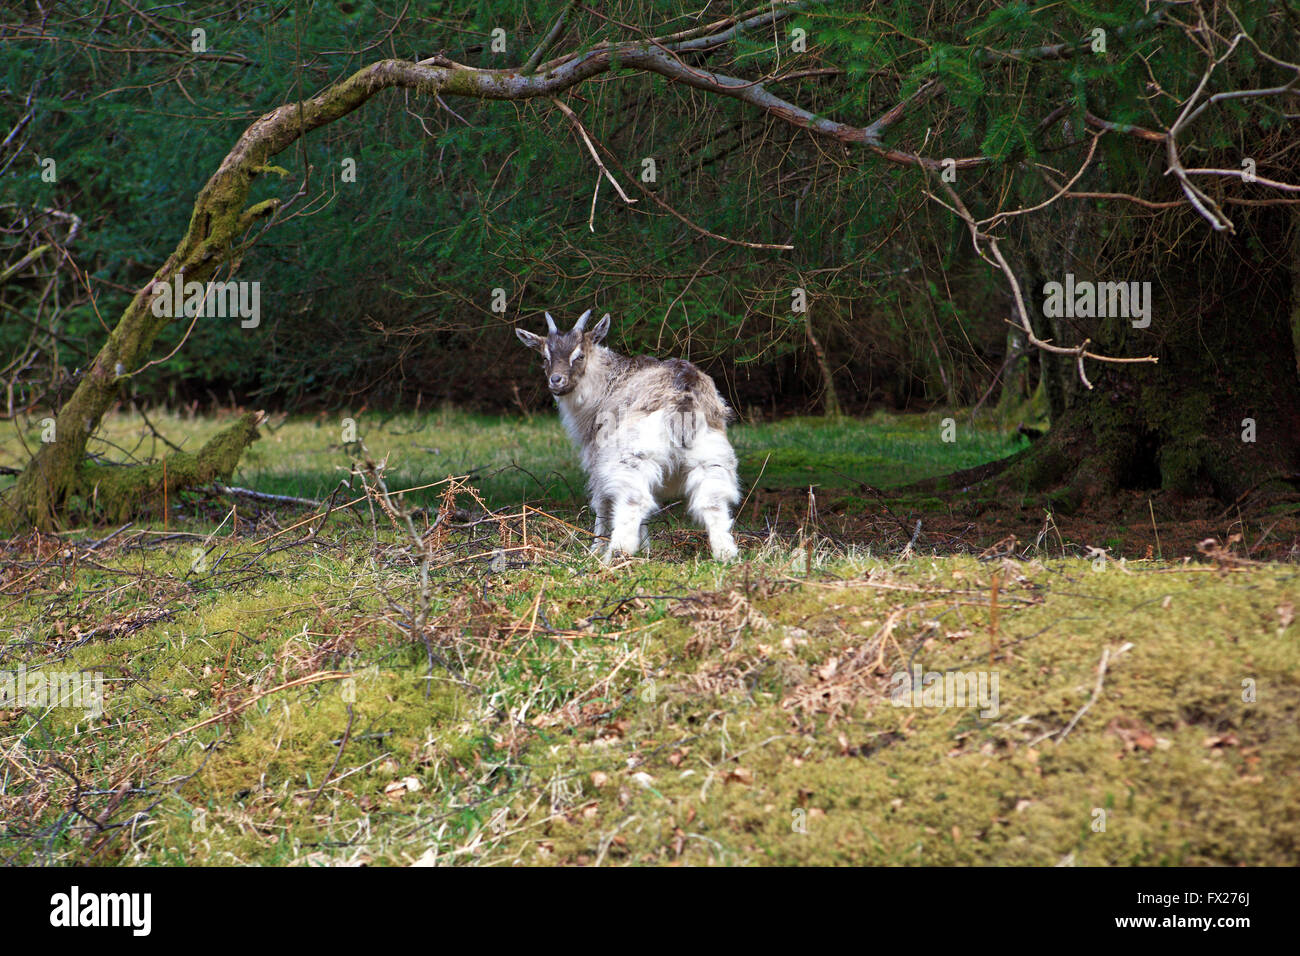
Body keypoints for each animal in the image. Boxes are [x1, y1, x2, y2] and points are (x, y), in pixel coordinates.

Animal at [516, 309, 741, 563]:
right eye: (545, 357)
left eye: (580, 355)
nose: (556, 381)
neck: (605, 381)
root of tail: (684, 394)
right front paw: (647, 550)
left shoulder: (597, 456)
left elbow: (602, 502)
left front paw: (596, 548)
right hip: (711, 454)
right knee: (712, 500)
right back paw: (725, 554)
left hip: (635, 453)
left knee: (634, 499)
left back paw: (616, 554)